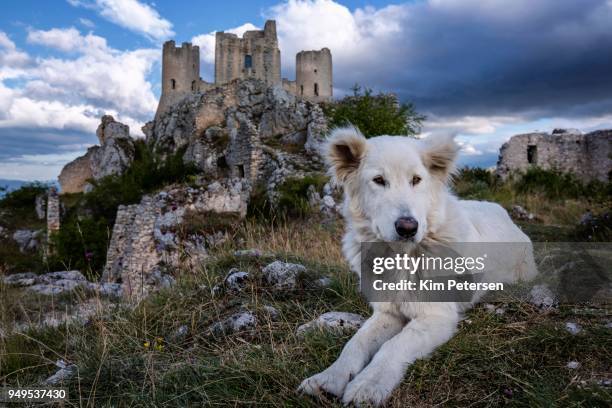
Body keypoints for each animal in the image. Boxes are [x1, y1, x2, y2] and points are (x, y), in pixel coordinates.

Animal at [300, 126, 536, 404]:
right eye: (379, 180)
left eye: (416, 180)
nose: (407, 228)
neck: (403, 257)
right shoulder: (387, 313)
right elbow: (354, 343)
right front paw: (329, 377)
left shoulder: (437, 316)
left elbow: (394, 345)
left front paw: (369, 384)